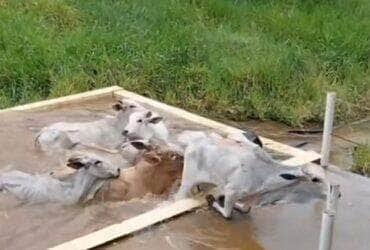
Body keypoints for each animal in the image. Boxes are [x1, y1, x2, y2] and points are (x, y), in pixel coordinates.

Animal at [176, 137, 324, 219]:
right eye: (315, 179)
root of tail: (193, 143)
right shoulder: (232, 190)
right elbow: (227, 214)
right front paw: (213, 201)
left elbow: (246, 209)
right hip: (187, 182)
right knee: (180, 196)